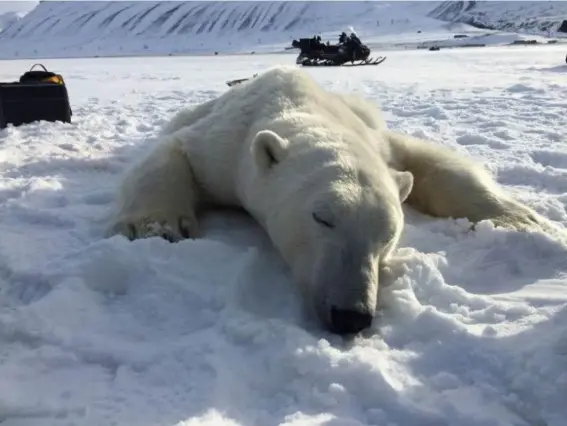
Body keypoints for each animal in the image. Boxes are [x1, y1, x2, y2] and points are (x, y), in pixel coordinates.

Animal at [105, 65, 564, 336]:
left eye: (387, 236)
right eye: (321, 218)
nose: (351, 315)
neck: (297, 107)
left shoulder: (379, 143)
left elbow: (431, 162)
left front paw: (522, 219)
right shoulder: (226, 145)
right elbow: (173, 152)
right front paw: (155, 227)